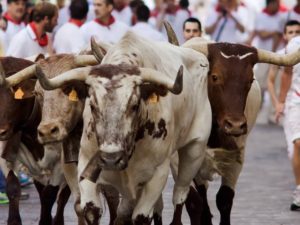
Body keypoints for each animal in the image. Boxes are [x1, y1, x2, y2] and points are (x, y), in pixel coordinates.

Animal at [0, 57, 71, 225]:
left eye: (13, 94)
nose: (0, 131)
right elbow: (13, 187)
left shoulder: (61, 164)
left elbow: (50, 195)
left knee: (63, 197)